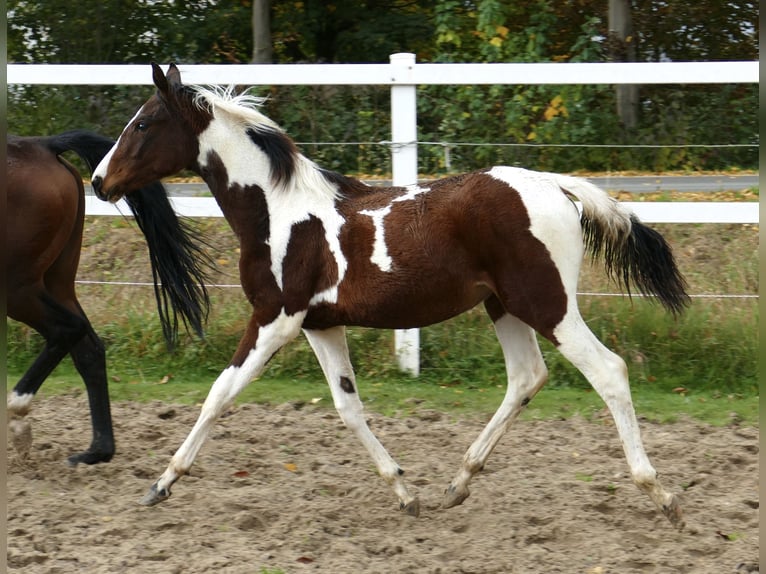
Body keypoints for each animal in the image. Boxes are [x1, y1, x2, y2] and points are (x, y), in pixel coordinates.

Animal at [6, 130, 213, 468]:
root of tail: (43, 145)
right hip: (56, 283)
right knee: (88, 348)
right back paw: (97, 450)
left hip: (18, 287)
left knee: (68, 329)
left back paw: (18, 416)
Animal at [93, 64, 692, 532]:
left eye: (142, 123)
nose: (100, 181)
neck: (277, 213)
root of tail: (554, 185)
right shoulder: (320, 325)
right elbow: (347, 406)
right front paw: (406, 493)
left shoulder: (274, 318)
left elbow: (220, 393)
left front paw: (161, 483)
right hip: (503, 305)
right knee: (527, 377)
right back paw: (457, 484)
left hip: (548, 303)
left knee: (608, 370)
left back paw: (661, 495)